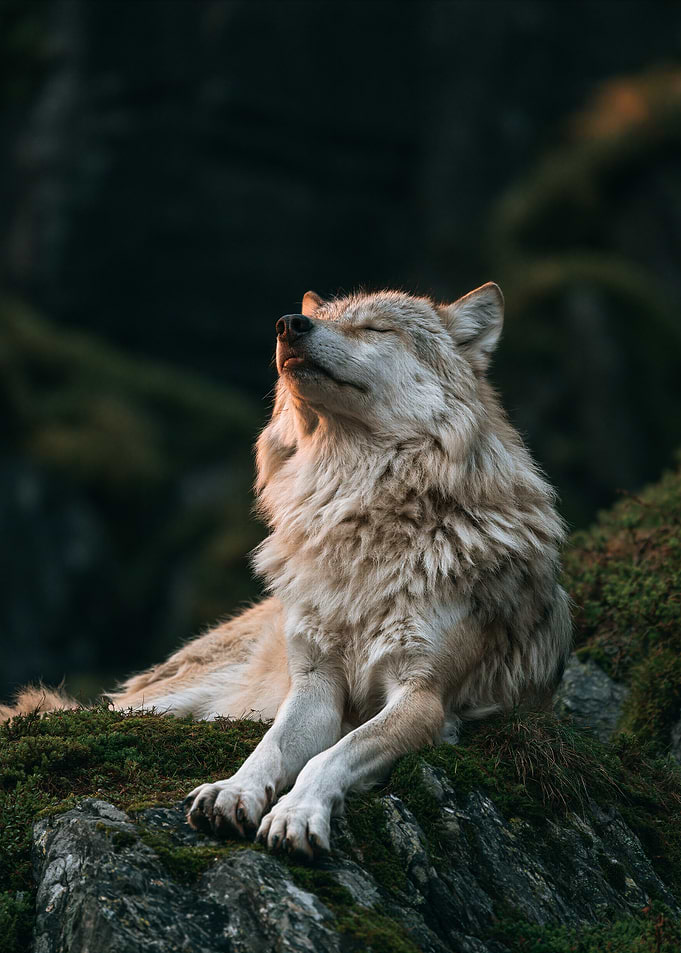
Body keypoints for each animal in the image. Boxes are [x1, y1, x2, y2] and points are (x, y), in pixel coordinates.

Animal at [3, 283, 571, 860]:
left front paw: (296, 813)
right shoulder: (315, 683)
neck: (360, 517)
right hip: (158, 702)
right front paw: (233, 792)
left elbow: (332, 754)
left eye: (375, 329)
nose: (289, 324)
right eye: (324, 317)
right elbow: (270, 746)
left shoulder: (423, 698)